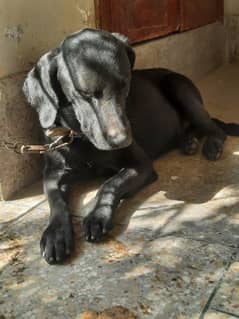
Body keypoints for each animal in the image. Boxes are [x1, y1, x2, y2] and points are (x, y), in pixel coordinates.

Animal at [22, 29, 239, 264]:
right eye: (84, 94)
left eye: (125, 84)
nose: (122, 140)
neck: (80, 138)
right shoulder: (53, 174)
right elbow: (56, 201)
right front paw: (56, 234)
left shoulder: (141, 165)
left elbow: (110, 184)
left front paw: (97, 216)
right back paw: (188, 142)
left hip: (179, 87)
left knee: (215, 127)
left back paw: (212, 145)